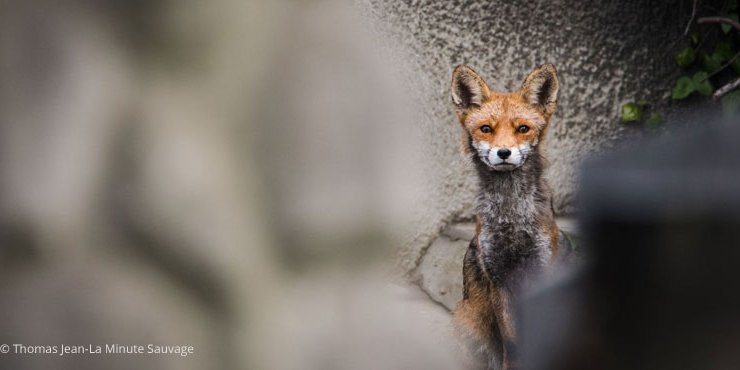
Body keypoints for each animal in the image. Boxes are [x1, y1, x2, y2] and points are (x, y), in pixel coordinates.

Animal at [448, 65, 568, 368]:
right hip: (468, 321)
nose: (504, 152)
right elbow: (512, 345)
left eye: (523, 129)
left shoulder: (542, 269)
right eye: (486, 129)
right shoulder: (498, 280)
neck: (512, 219)